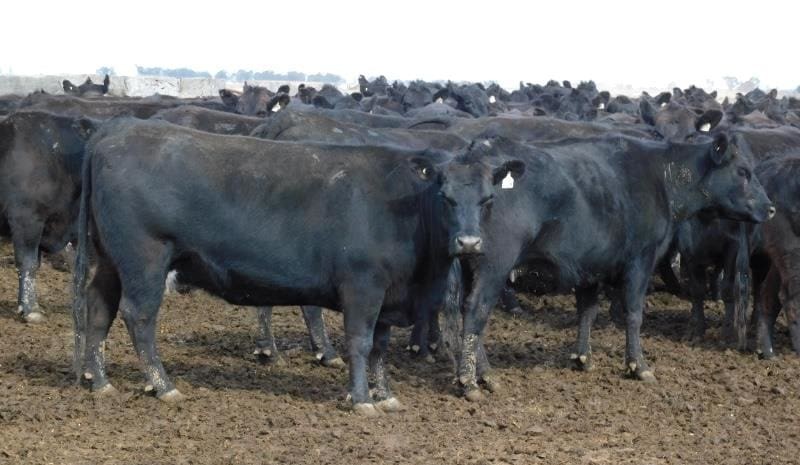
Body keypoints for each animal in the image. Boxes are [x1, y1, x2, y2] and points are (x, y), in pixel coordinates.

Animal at [72, 118, 519, 415]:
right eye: (445, 196)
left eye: (488, 199)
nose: (469, 243)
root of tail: (118, 130)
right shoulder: (363, 287)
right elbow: (360, 342)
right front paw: (361, 399)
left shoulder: (389, 293)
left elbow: (380, 345)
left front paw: (386, 394)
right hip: (144, 259)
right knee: (138, 317)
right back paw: (162, 385)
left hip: (110, 260)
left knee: (98, 308)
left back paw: (101, 381)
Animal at [445, 133, 773, 401]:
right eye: (743, 172)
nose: (770, 208)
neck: (662, 177)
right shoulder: (640, 260)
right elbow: (634, 314)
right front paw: (638, 366)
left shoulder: (590, 266)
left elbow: (587, 312)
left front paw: (583, 358)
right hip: (494, 265)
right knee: (477, 311)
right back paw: (471, 381)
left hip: (472, 265)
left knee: (469, 310)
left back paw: (484, 376)